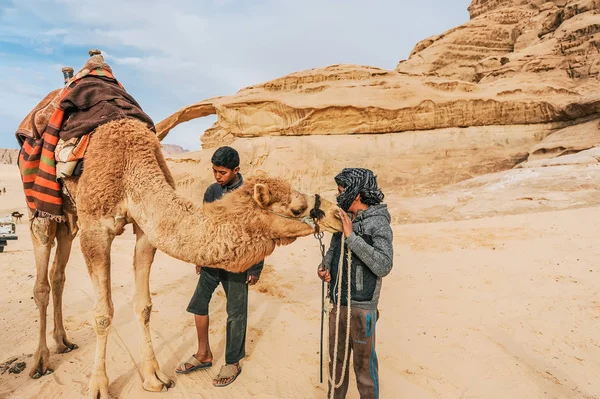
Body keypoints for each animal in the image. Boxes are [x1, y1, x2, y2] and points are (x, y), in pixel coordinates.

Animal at [27, 117, 342, 398]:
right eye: (297, 208)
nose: (338, 215)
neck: (131, 167)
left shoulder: (146, 231)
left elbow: (144, 305)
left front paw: (154, 378)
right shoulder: (95, 228)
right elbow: (103, 314)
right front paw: (99, 387)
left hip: (69, 219)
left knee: (58, 274)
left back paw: (63, 341)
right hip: (43, 209)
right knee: (42, 279)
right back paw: (40, 361)